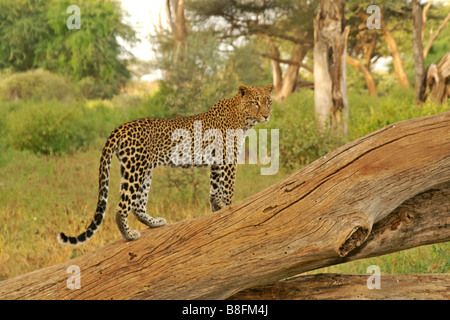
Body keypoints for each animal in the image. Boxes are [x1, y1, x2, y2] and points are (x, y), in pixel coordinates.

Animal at [57, 83, 272, 245]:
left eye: (268, 101)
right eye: (255, 103)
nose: (267, 115)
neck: (243, 117)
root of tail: (121, 127)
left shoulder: (217, 161)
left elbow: (214, 190)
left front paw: (216, 211)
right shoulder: (228, 158)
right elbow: (228, 188)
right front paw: (229, 209)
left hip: (144, 170)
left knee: (138, 205)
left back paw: (155, 223)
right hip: (135, 170)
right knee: (122, 207)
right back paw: (130, 235)